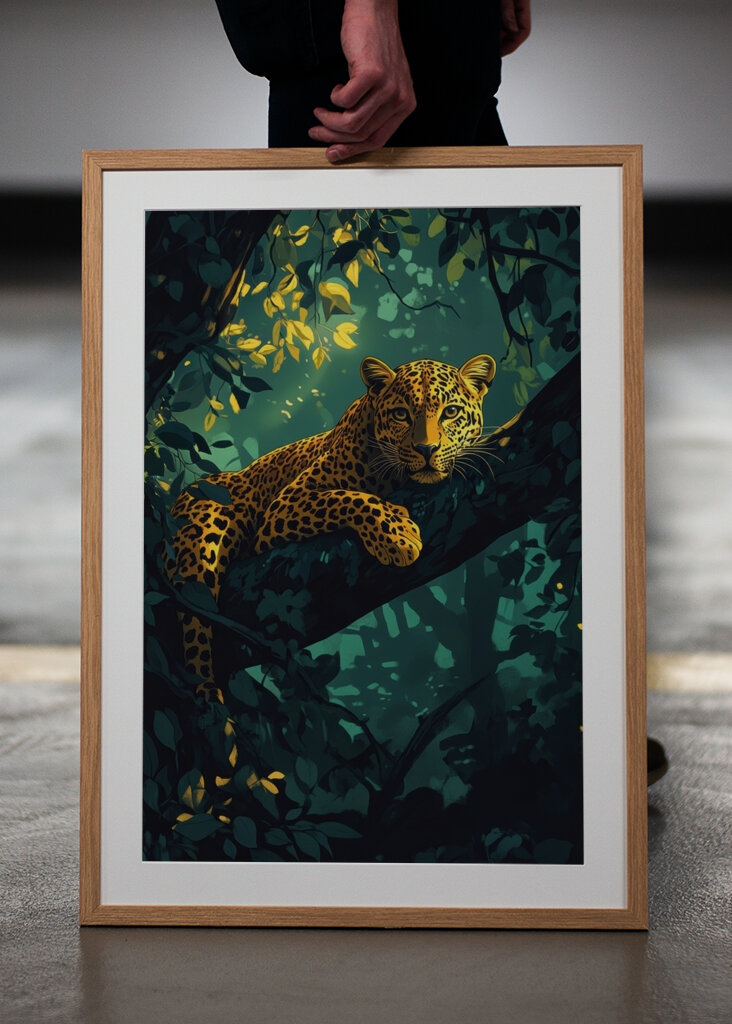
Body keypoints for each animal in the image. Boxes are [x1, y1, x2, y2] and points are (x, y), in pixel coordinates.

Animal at [166, 353, 497, 699]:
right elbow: (347, 497)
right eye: (401, 414)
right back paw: (205, 687)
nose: (427, 449)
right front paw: (398, 535)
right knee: (196, 625)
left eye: (451, 412)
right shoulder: (284, 506)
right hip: (202, 537)